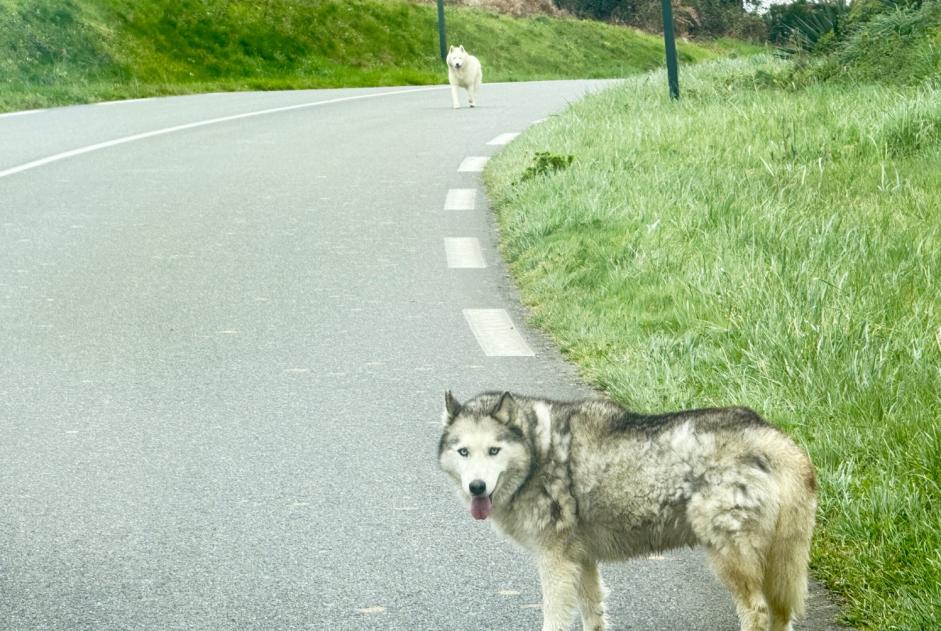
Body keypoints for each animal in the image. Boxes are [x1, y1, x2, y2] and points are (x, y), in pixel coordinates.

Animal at [438, 390, 816, 631]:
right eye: (463, 452)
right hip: (774, 568)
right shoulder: (582, 562)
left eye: (494, 450)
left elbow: (554, 620)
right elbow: (594, 614)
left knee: (758, 614)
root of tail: (772, 438)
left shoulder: (556, 563)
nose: (476, 487)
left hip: (732, 562)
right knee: (780, 616)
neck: (537, 452)